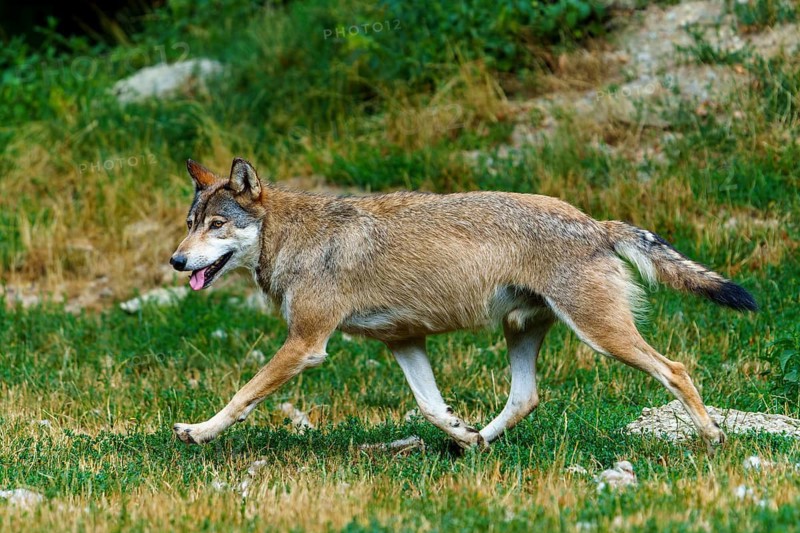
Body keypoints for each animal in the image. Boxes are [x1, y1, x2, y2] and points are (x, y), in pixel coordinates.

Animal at [169, 157, 757, 452]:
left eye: (217, 225)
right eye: (191, 223)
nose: (176, 261)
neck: (294, 239)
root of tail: (595, 223)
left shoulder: (306, 345)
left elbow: (242, 396)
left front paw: (197, 431)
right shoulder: (403, 341)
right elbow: (431, 406)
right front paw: (459, 431)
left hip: (603, 337)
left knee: (676, 369)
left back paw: (712, 437)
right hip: (521, 332)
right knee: (525, 398)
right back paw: (474, 443)